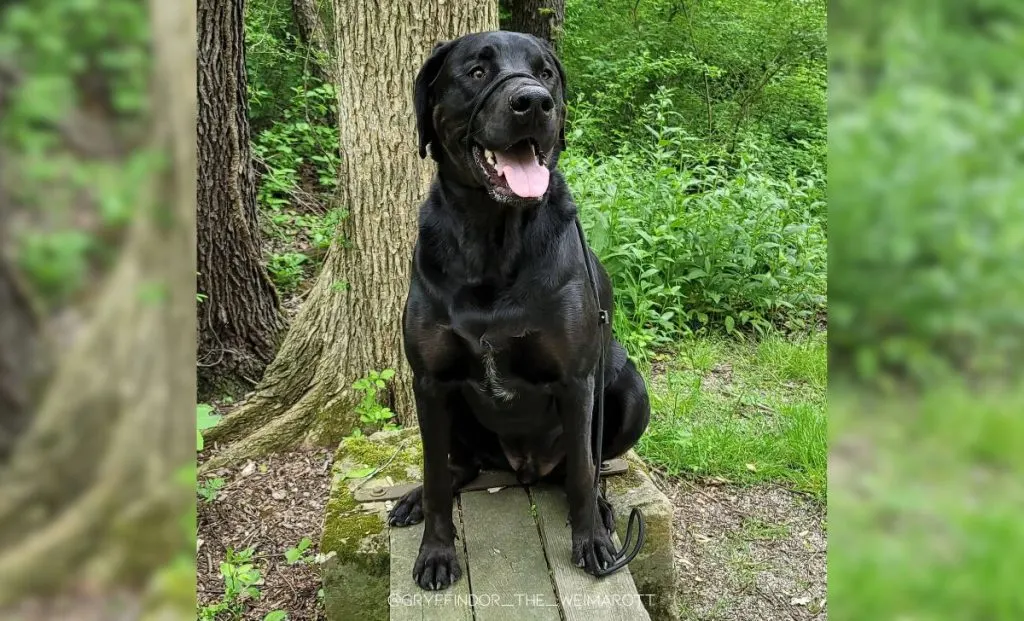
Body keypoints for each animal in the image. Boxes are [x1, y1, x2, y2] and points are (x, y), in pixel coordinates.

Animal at [387, 32, 651, 594]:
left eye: (546, 71)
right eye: (477, 71)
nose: (534, 102)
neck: (494, 235)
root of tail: (524, 468)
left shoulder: (576, 381)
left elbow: (582, 474)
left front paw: (592, 541)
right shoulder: (430, 381)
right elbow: (436, 475)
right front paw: (436, 551)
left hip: (628, 391)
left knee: (584, 467)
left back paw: (600, 511)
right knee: (457, 465)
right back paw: (415, 497)